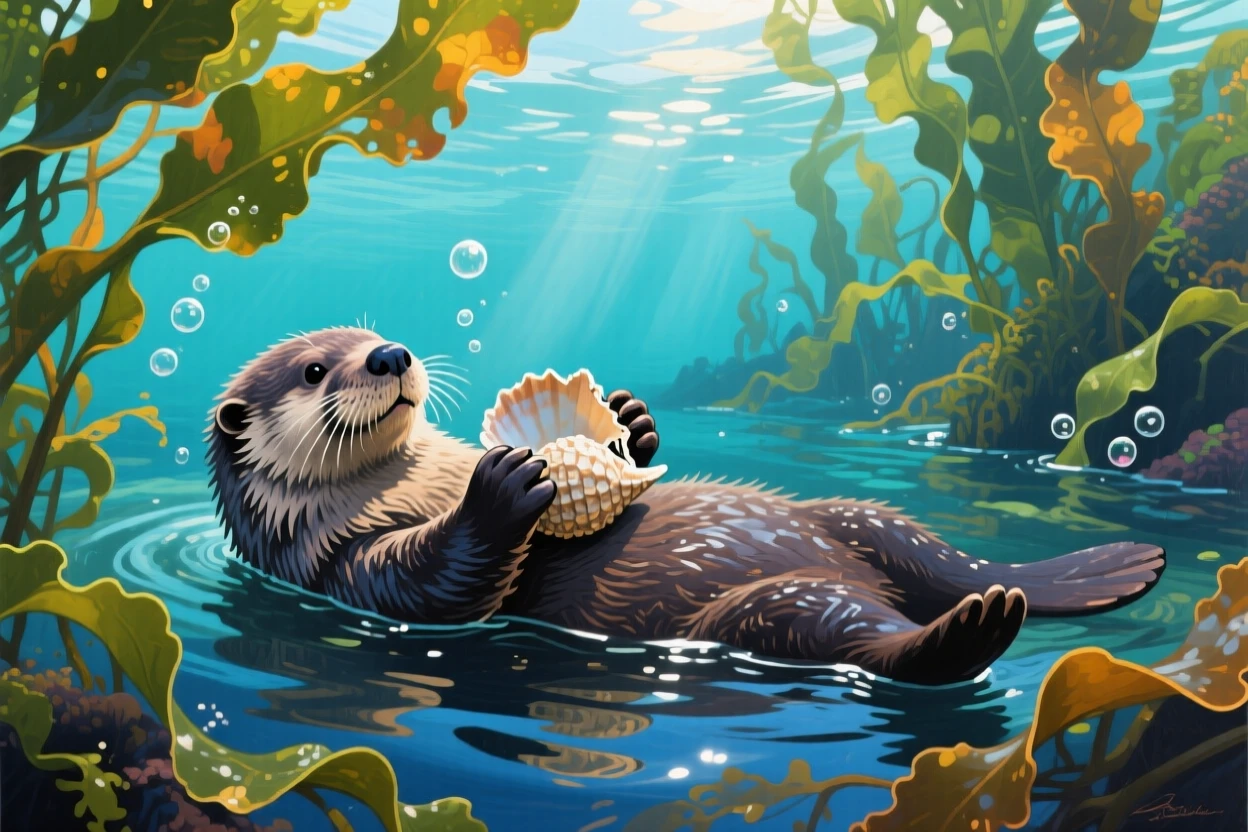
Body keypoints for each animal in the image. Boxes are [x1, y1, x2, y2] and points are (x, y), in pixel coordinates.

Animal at [206, 327, 1166, 685]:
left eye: (373, 337)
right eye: (316, 370)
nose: (392, 356)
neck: (419, 481)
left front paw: (632, 422)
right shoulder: (342, 571)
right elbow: (441, 587)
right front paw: (505, 486)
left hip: (862, 518)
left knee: (942, 555)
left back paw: (1104, 570)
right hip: (771, 612)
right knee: (867, 639)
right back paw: (972, 630)